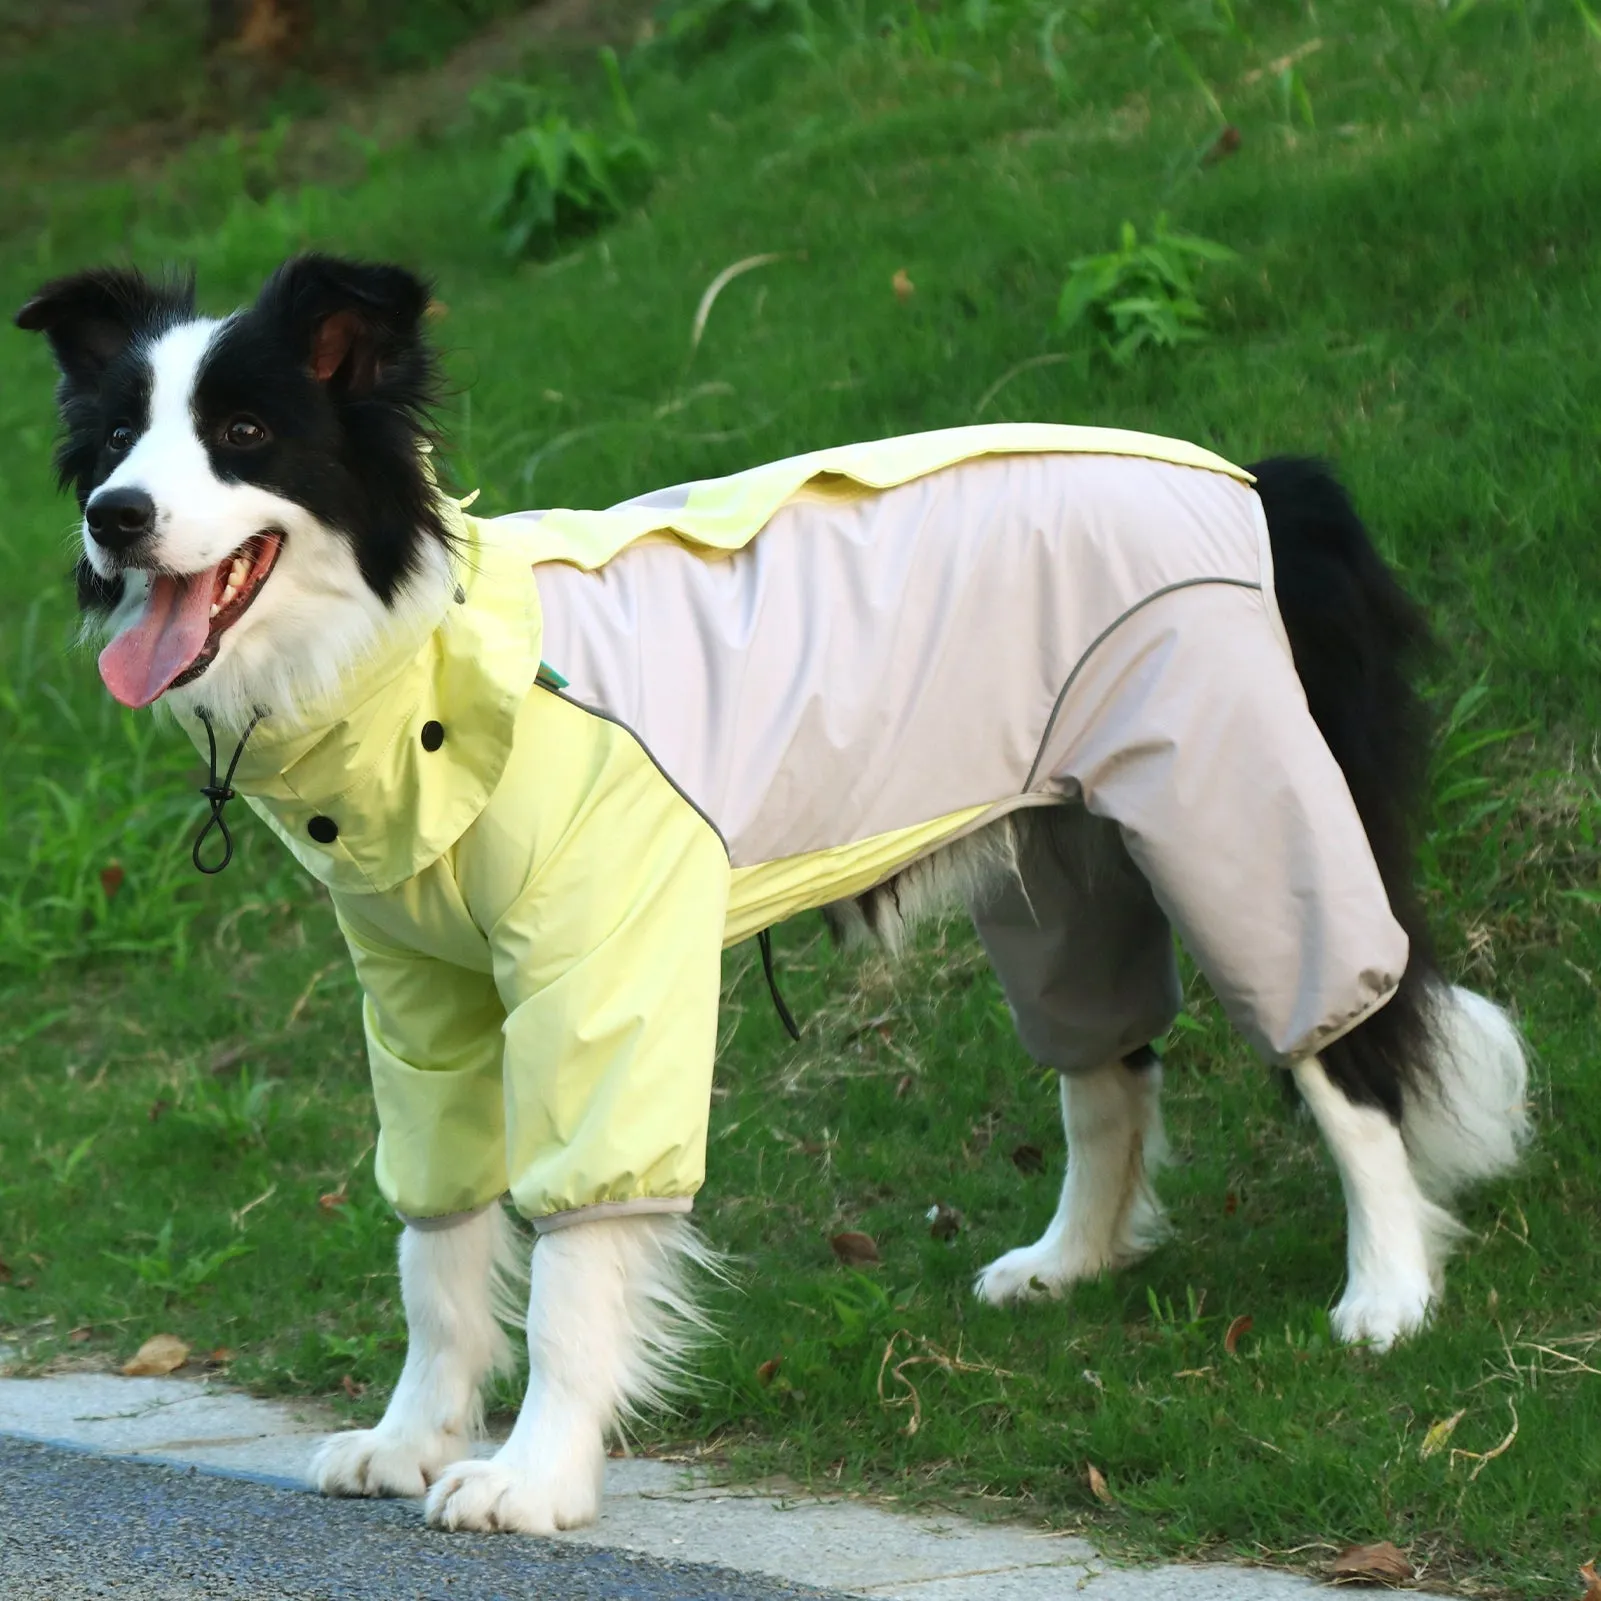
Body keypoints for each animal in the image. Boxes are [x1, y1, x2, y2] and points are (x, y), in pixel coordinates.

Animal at [15, 256, 1536, 1530]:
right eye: (114, 441)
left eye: (244, 432)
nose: (113, 517)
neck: (422, 663)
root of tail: (1258, 481)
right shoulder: (419, 993)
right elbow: (436, 1239)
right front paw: (413, 1435)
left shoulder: (600, 969)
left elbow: (573, 1254)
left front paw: (533, 1474)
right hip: (1062, 848)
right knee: (1105, 1059)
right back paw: (1070, 1260)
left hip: (1231, 800)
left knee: (1342, 1037)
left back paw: (1388, 1289)